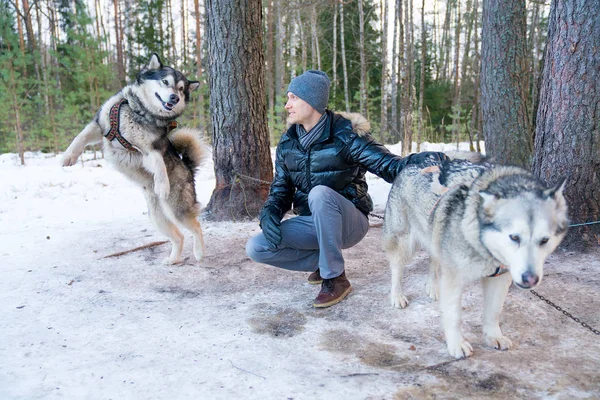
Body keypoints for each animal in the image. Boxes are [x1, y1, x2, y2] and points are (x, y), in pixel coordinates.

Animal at [61, 54, 206, 266]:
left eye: (181, 89)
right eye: (165, 82)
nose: (175, 98)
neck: (138, 111)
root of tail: (187, 167)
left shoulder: (149, 150)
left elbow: (160, 163)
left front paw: (162, 184)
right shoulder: (101, 125)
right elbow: (80, 137)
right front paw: (68, 157)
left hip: (177, 209)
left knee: (196, 226)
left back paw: (199, 252)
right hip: (157, 217)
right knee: (179, 237)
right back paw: (172, 260)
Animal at [384, 158, 568, 358]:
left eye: (544, 240)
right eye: (514, 237)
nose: (530, 279)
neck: (484, 247)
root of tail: (413, 161)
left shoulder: (500, 278)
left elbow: (493, 312)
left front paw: (493, 336)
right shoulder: (454, 278)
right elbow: (454, 316)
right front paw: (457, 345)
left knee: (434, 261)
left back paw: (433, 288)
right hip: (404, 243)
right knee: (397, 269)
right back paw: (397, 296)